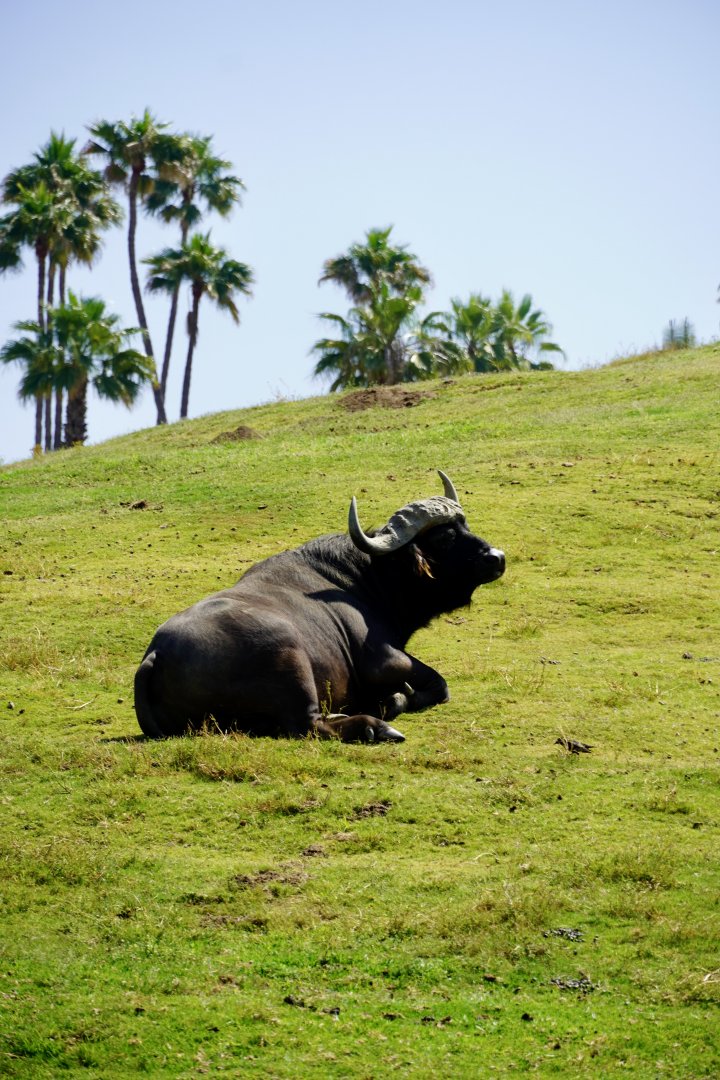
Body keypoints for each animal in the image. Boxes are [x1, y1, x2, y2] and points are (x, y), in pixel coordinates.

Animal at [134, 471, 505, 743]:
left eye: (464, 526)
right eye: (444, 538)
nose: (497, 557)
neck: (365, 579)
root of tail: (157, 654)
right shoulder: (386, 660)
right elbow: (440, 685)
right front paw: (395, 700)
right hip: (291, 662)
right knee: (308, 725)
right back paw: (375, 726)